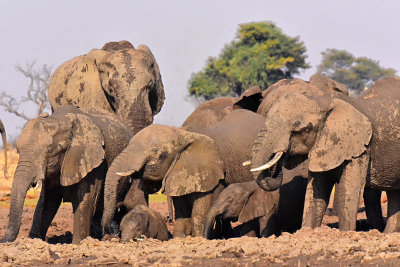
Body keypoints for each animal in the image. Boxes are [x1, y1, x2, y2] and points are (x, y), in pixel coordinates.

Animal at [0, 105, 148, 244]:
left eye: (50, 151)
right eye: (18, 150)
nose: (3, 241)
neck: (60, 120)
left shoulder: (93, 162)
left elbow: (84, 201)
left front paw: (78, 244)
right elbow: (47, 202)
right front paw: (36, 240)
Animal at [101, 109, 268, 239]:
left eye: (156, 153)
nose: (110, 234)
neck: (183, 135)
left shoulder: (210, 173)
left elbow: (200, 210)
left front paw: (199, 238)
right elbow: (182, 210)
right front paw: (180, 238)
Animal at [250, 77, 400, 232]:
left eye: (299, 127)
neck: (323, 101)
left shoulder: (360, 147)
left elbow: (348, 191)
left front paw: (345, 233)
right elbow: (315, 191)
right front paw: (307, 232)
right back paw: (388, 234)